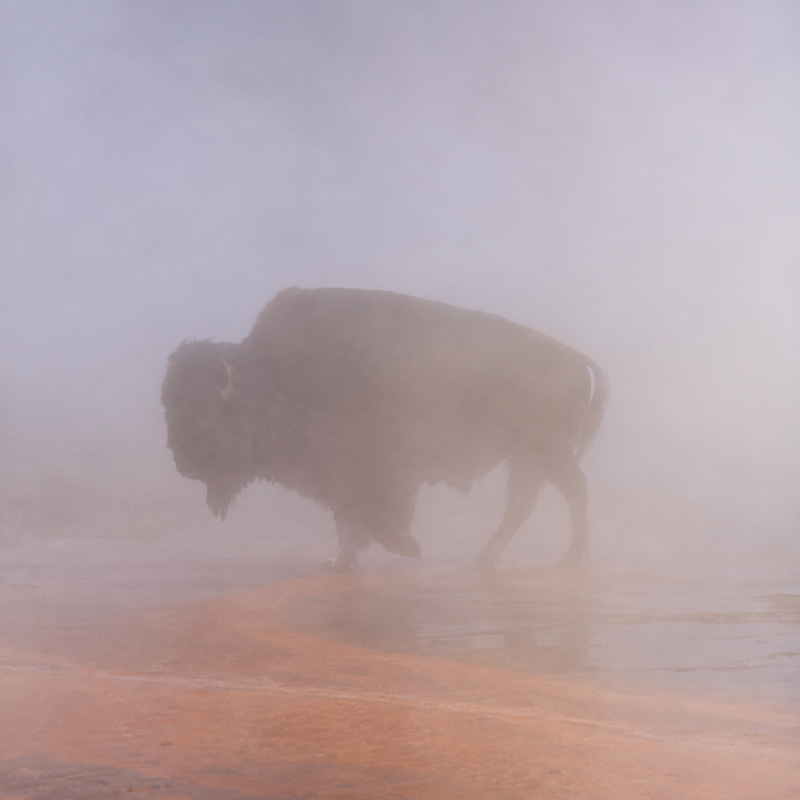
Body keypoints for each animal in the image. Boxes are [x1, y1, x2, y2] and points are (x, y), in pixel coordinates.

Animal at [162, 287, 607, 570]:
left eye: (207, 418)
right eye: (170, 409)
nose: (182, 464)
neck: (277, 377)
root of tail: (575, 357)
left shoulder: (369, 470)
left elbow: (372, 513)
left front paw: (405, 547)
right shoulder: (340, 477)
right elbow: (349, 517)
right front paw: (338, 562)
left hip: (548, 450)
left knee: (574, 490)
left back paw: (571, 560)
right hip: (526, 454)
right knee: (524, 503)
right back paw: (485, 559)